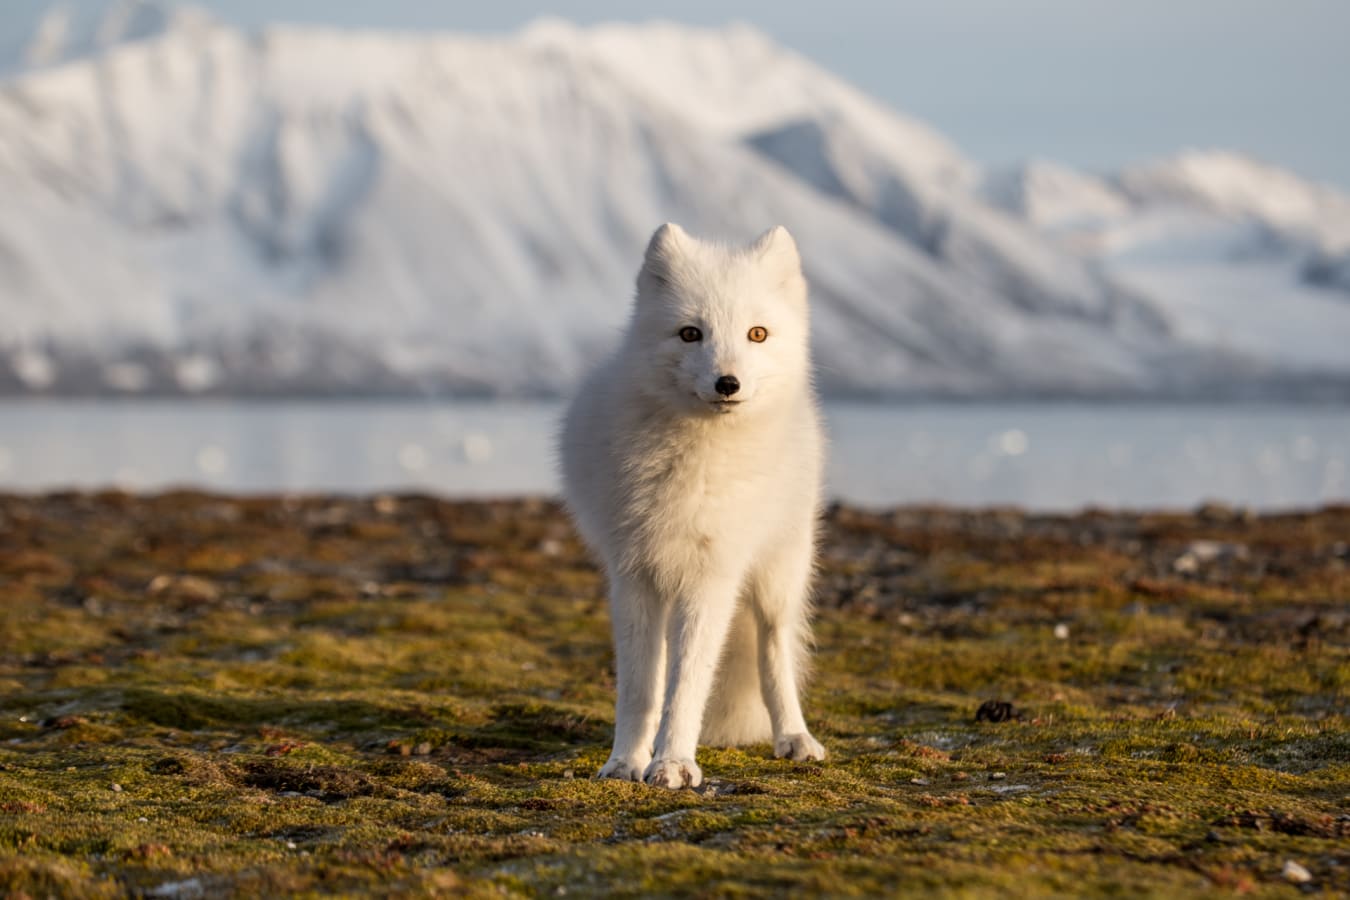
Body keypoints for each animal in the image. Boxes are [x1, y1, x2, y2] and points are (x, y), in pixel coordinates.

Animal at [559, 222, 827, 789]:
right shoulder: (634, 575)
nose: (728, 384)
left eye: (756, 334)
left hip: (778, 574)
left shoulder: (712, 578)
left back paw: (794, 736)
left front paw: (674, 762)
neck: (693, 465)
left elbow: (686, 687)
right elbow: (641, 689)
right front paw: (626, 761)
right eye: (689, 334)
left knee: (775, 652)